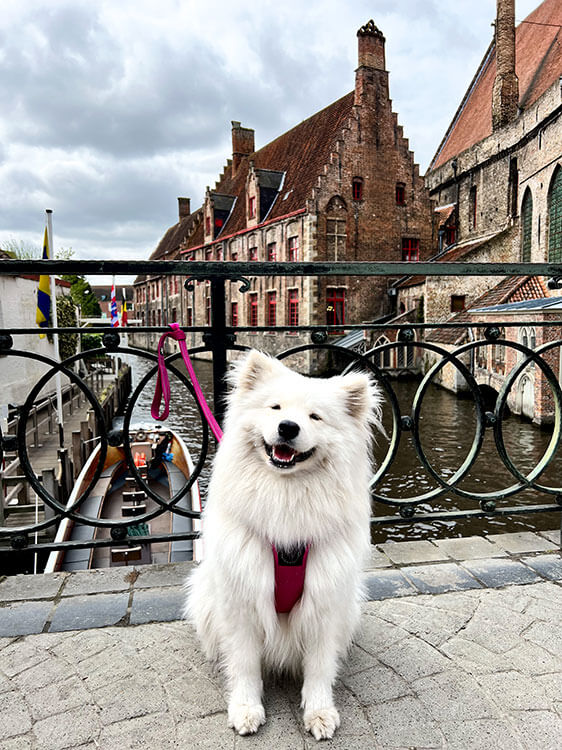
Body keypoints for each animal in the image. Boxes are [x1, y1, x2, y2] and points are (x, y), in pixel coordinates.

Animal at [186, 352, 378, 740]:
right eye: (275, 407)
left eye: (315, 416)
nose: (288, 427)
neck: (286, 498)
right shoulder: (243, 600)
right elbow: (244, 663)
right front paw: (246, 708)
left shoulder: (324, 603)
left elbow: (319, 667)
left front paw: (319, 713)